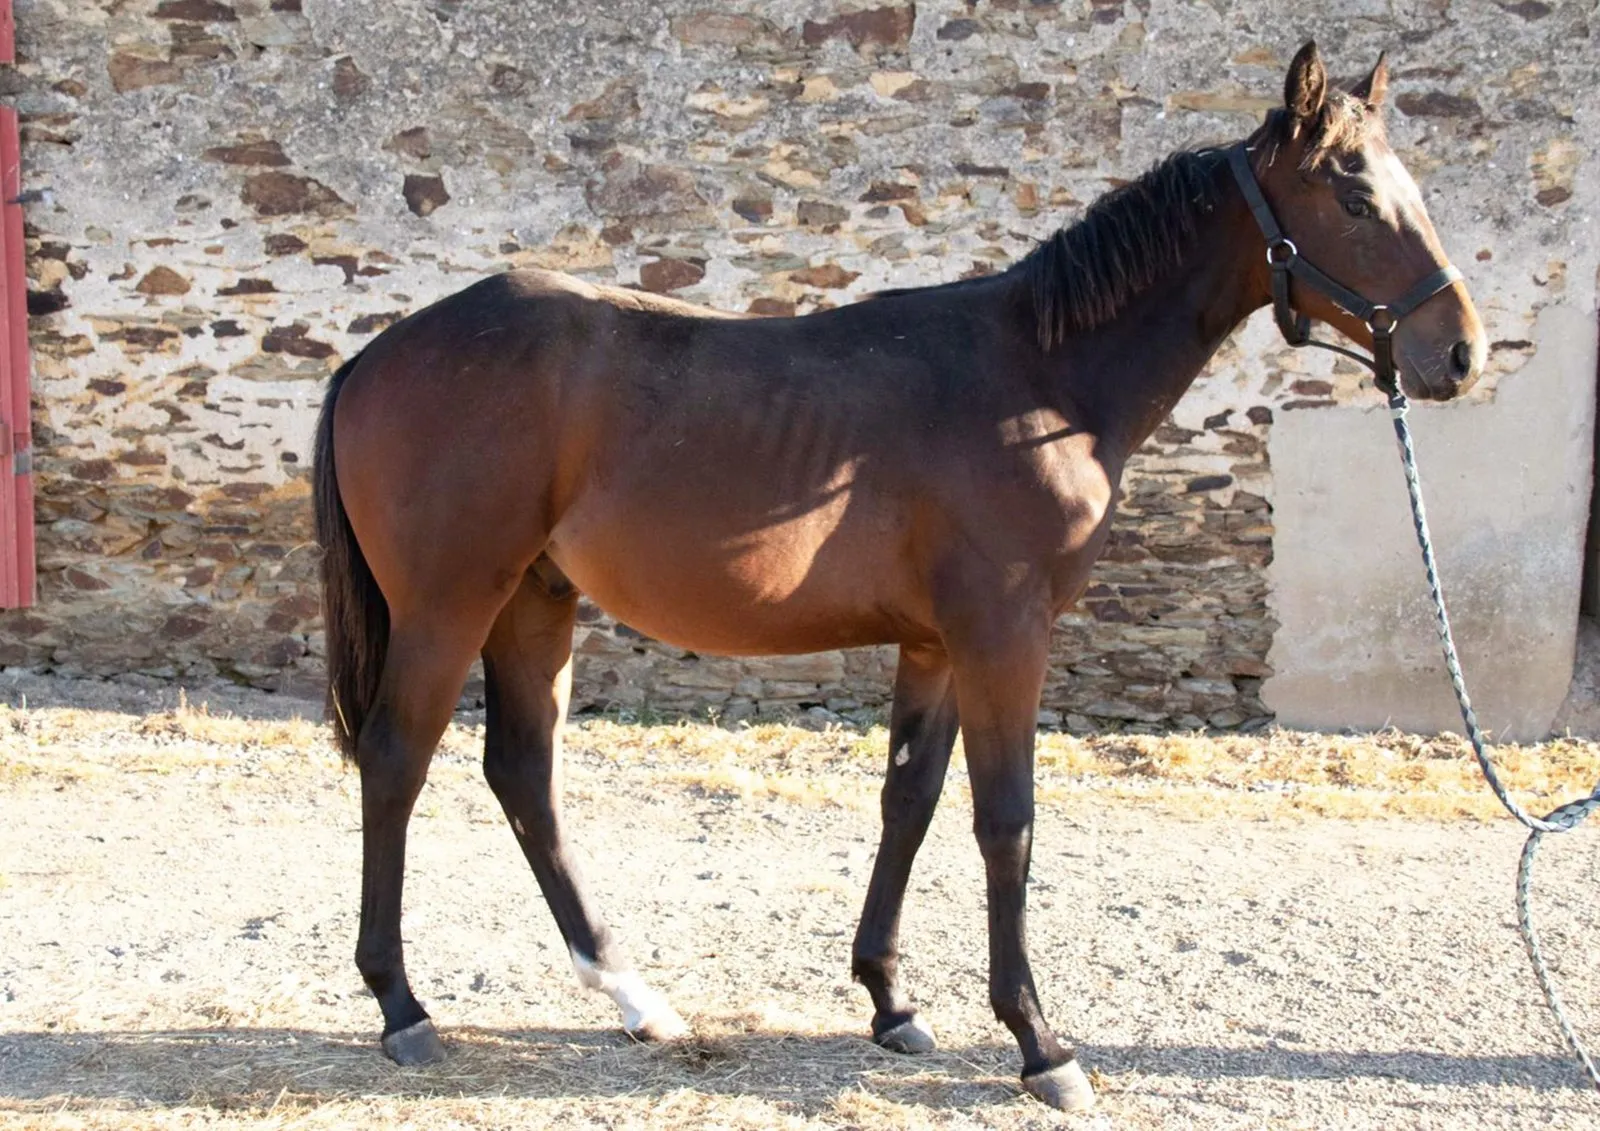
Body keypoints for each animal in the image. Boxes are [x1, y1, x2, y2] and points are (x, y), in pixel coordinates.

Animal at [311, 42, 1484, 1112]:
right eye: (1352, 194)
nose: (1461, 353)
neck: (1041, 379)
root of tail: (376, 354)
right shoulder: (1004, 635)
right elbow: (1006, 821)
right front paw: (1039, 1044)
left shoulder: (934, 643)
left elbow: (908, 802)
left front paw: (890, 1001)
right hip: (449, 605)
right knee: (396, 760)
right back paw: (403, 1009)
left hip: (532, 603)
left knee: (523, 775)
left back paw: (634, 997)